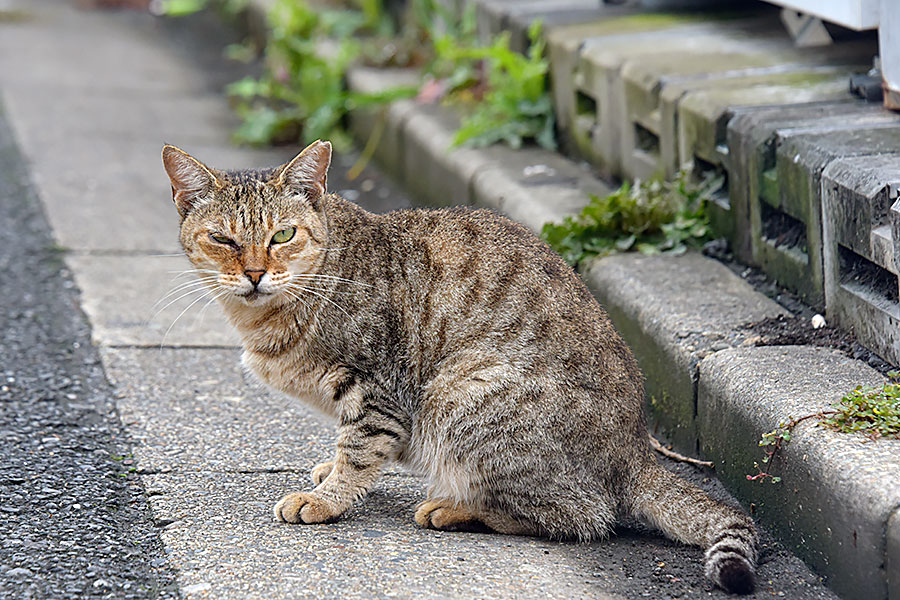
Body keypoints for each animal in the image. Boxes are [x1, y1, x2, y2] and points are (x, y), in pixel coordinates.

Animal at [163, 142, 760, 596]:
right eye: (223, 238)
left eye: (282, 235)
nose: (255, 273)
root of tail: (638, 453)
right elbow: (350, 451)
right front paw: (328, 474)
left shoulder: (377, 392)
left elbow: (359, 451)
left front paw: (327, 498)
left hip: (460, 395)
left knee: (580, 517)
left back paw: (452, 508)